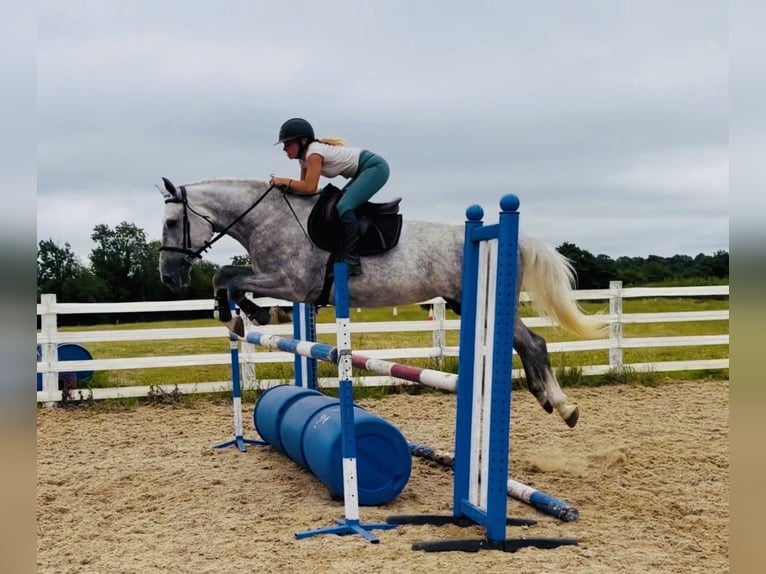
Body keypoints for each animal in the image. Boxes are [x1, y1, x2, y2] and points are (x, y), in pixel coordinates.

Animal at [158, 177, 606, 428]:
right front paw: (246, 315)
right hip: (468, 304)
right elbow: (228, 278)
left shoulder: (293, 284)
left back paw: (563, 406)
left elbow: (226, 277)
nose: (168, 276)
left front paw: (244, 315)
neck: (269, 218)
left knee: (533, 343)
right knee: (527, 344)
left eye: (172, 222)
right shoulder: (280, 281)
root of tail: (509, 238)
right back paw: (548, 400)